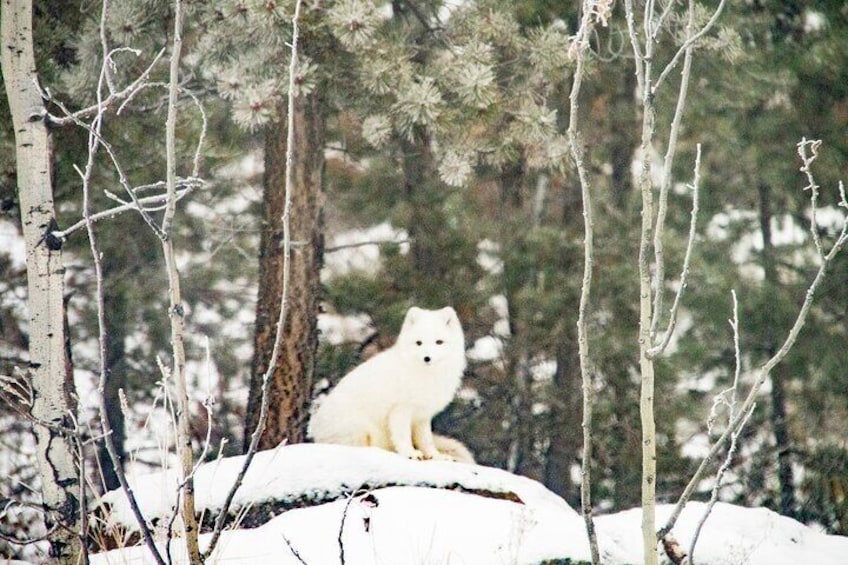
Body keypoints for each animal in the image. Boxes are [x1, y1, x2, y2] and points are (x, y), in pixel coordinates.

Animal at [308, 306, 474, 460]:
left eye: (439, 342)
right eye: (419, 343)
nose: (427, 358)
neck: (427, 375)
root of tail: (315, 434)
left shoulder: (423, 416)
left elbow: (426, 441)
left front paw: (435, 456)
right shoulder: (400, 410)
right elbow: (403, 436)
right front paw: (410, 454)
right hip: (360, 429)